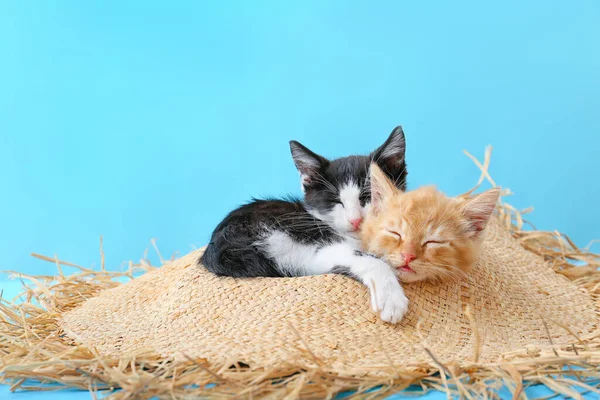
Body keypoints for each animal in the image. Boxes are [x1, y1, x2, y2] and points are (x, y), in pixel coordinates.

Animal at [199, 126, 410, 324]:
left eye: (367, 196)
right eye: (335, 201)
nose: (355, 220)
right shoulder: (316, 248)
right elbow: (369, 259)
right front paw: (391, 299)